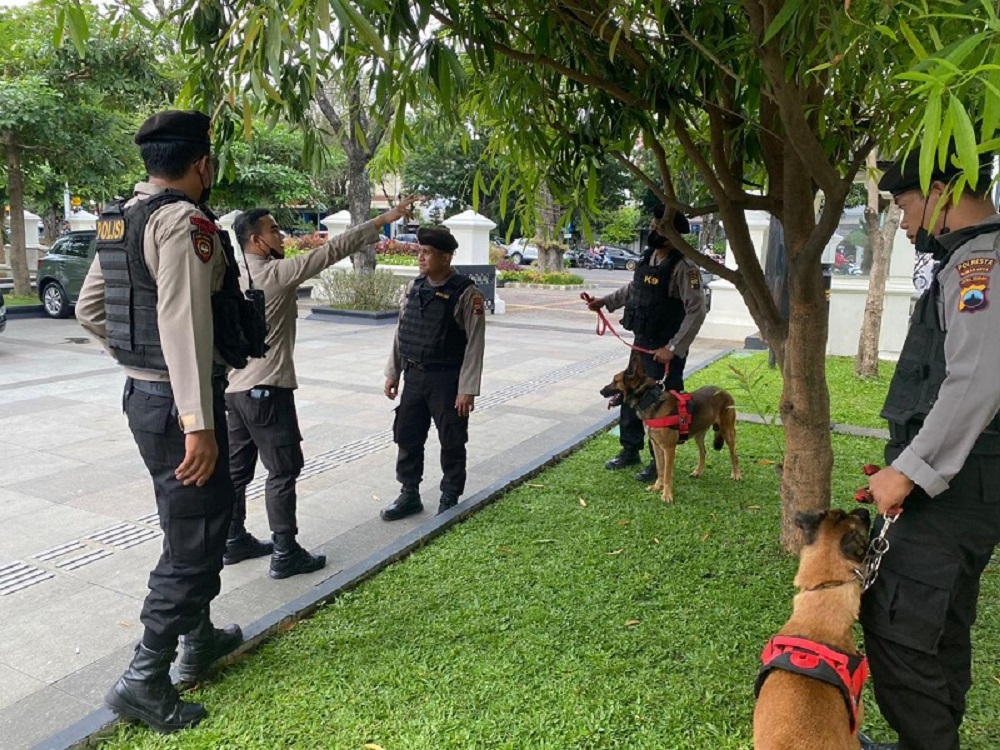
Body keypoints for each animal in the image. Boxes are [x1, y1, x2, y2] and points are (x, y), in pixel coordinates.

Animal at [596, 358, 740, 506]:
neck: (650, 399)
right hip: (699, 435)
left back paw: (736, 474)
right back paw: (698, 471)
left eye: (615, 380)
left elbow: (666, 473)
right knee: (703, 452)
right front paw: (657, 487)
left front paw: (666, 495)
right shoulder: (657, 446)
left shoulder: (669, 449)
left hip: (728, 432)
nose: (601, 391)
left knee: (734, 454)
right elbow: (660, 468)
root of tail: (724, 391)